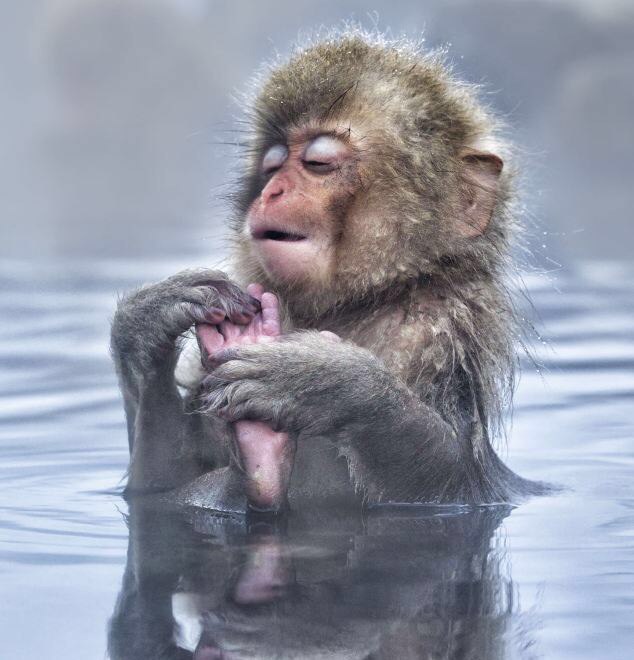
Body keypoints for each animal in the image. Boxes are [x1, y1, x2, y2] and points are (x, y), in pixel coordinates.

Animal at [108, 29, 544, 516]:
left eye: (318, 164)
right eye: (272, 166)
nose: (273, 191)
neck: (360, 301)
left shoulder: (438, 331)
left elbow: (452, 486)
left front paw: (324, 382)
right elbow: (152, 490)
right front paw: (150, 320)